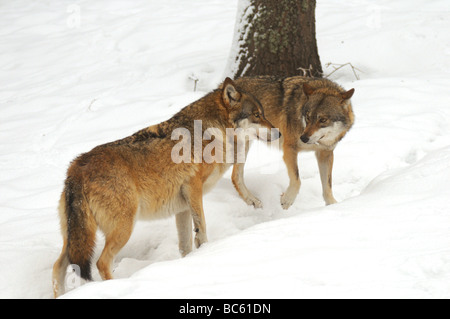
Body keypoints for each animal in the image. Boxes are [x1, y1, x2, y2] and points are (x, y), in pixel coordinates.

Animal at [51, 79, 278, 298]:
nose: (279, 132)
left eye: (263, 114)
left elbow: (186, 244)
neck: (212, 132)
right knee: (101, 262)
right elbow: (202, 228)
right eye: (257, 115)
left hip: (76, 238)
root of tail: (76, 168)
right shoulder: (193, 189)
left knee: (58, 266)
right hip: (124, 227)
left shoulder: (182, 207)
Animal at [232, 76, 356, 211]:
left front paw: (333, 206)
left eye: (323, 120)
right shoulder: (289, 149)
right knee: (235, 176)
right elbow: (297, 180)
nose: (303, 138)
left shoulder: (325, 154)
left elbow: (327, 185)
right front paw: (287, 200)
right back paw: (252, 200)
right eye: (308, 117)